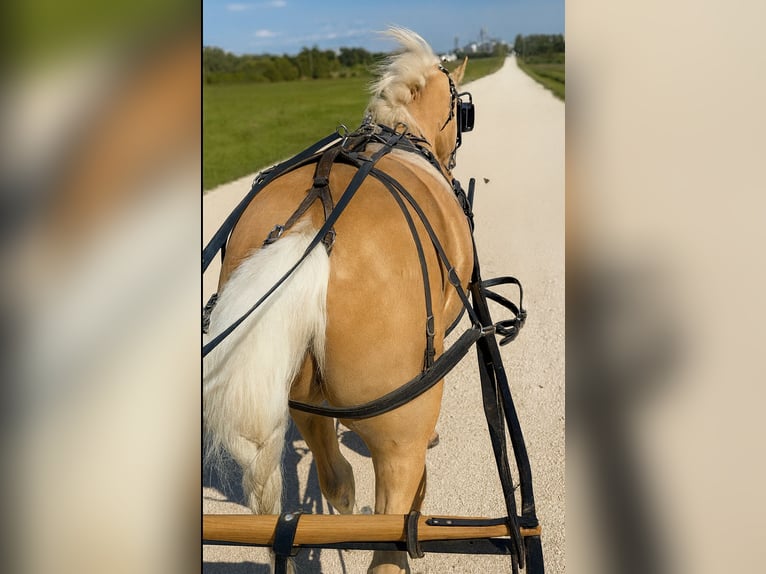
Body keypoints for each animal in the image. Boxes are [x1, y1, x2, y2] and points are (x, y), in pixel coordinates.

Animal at [203, 28, 472, 573]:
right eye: (462, 110)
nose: (452, 159)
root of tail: (310, 231)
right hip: (399, 434)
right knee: (390, 533)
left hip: (304, 397)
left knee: (335, 478)